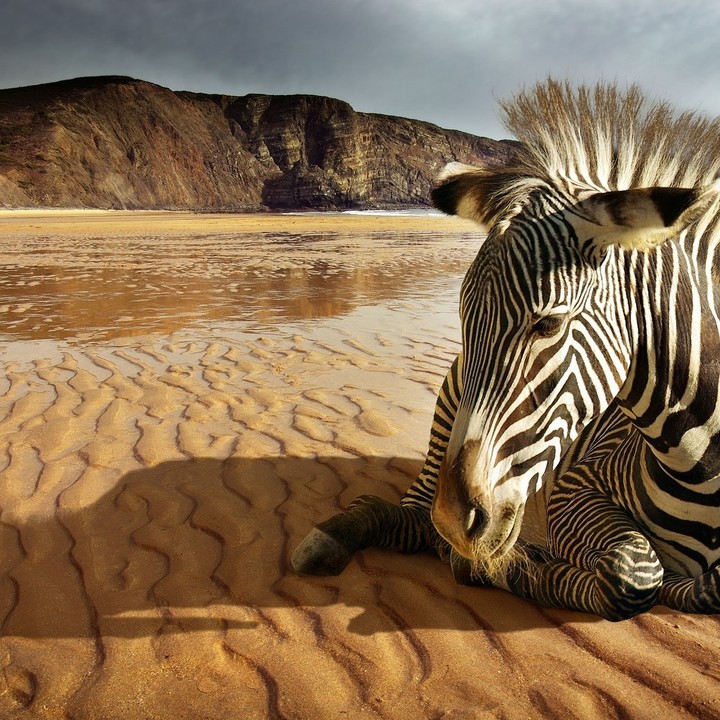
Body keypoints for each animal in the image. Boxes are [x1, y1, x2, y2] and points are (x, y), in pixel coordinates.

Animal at [292, 79, 720, 621]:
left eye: (549, 323)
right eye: (463, 319)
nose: (455, 521)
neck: (701, 467)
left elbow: (674, 581)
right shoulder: (575, 487)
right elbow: (633, 574)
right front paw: (506, 568)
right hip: (448, 408)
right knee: (412, 519)